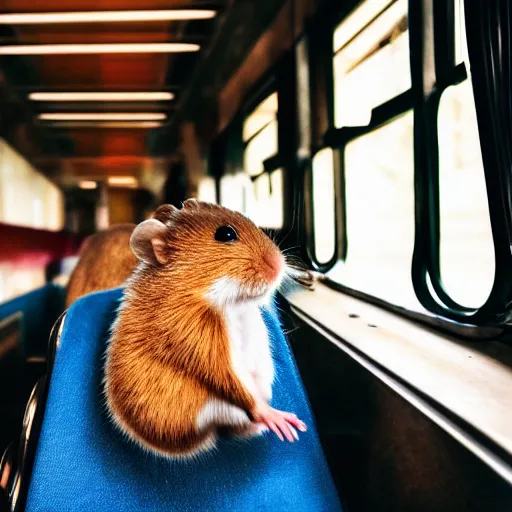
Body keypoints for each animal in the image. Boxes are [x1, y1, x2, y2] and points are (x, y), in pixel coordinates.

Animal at [104, 198, 312, 458]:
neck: (229, 301)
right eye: (226, 234)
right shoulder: (196, 336)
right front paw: (275, 417)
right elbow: (230, 379)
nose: (279, 264)